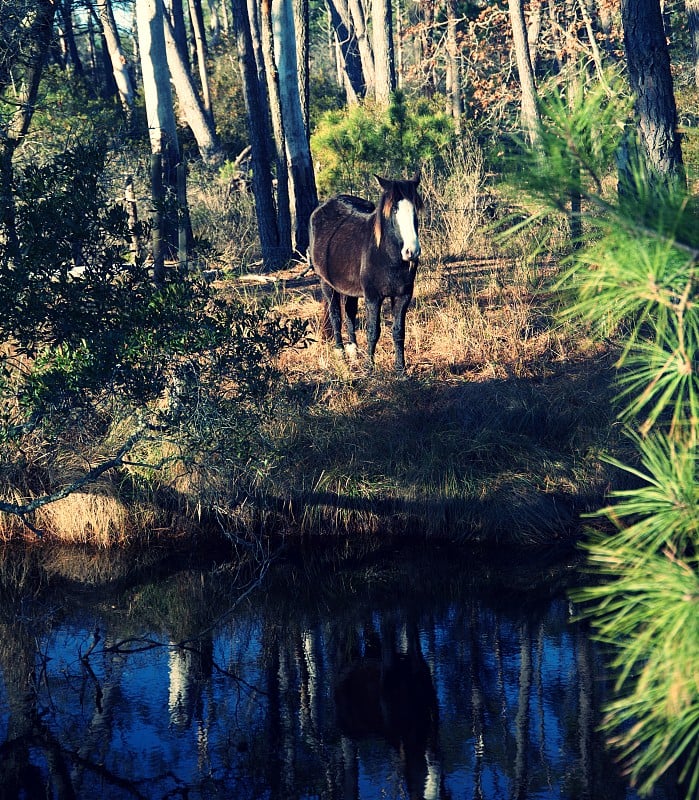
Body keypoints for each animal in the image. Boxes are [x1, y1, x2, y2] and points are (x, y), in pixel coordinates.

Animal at [308, 173, 424, 374]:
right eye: (394, 210)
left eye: (415, 209)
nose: (412, 252)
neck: (386, 254)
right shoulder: (373, 297)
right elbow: (373, 331)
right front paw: (369, 367)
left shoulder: (403, 296)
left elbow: (398, 331)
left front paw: (401, 369)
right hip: (326, 283)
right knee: (336, 316)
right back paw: (340, 353)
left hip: (348, 288)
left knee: (349, 314)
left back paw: (353, 350)